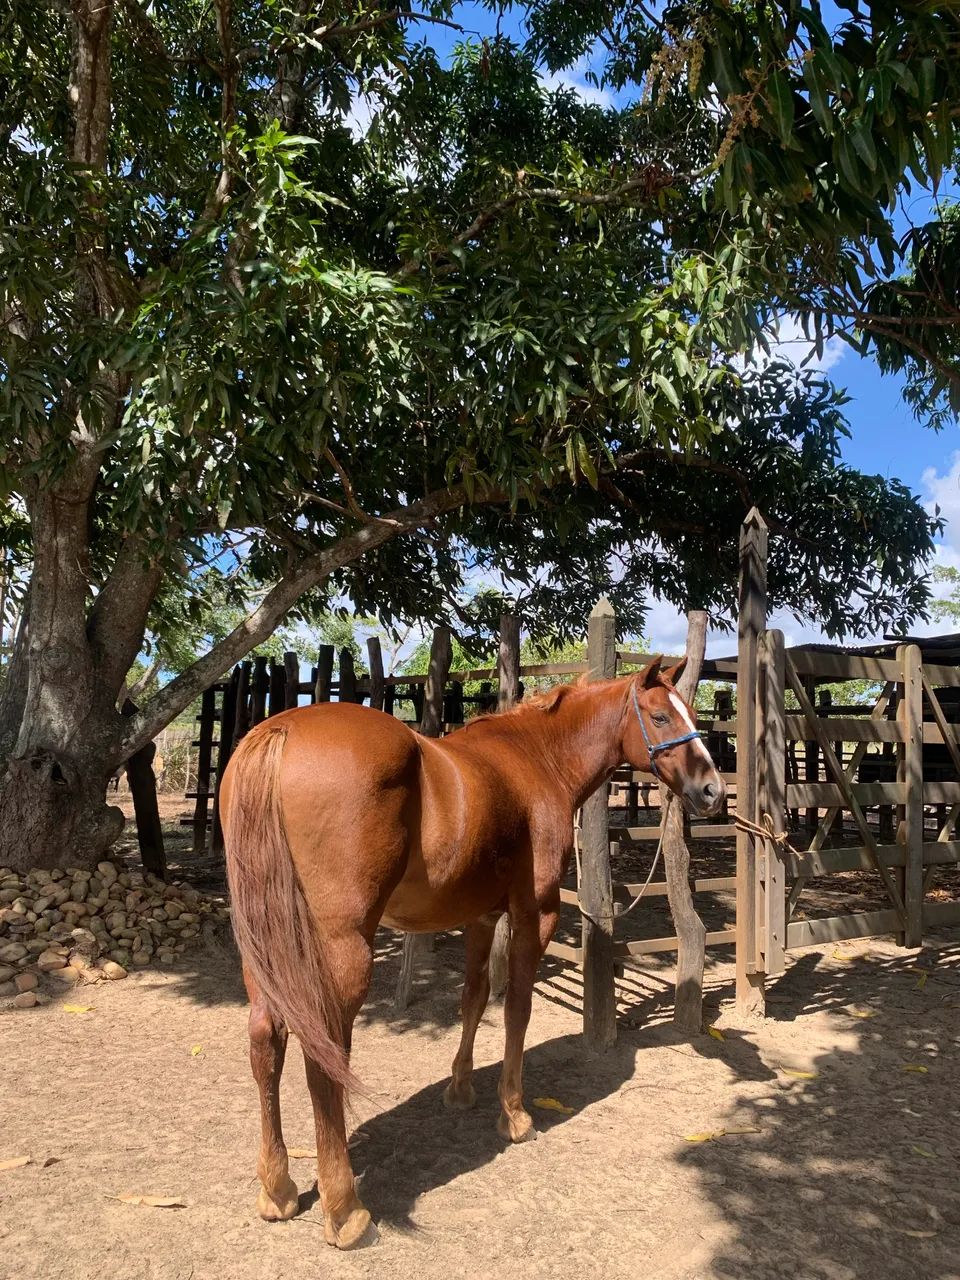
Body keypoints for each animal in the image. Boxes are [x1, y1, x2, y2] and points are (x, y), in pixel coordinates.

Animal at [221, 655, 724, 1249]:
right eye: (659, 716)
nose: (713, 790)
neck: (537, 760)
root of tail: (280, 731)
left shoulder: (481, 917)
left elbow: (475, 998)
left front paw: (460, 1088)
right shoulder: (535, 913)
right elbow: (516, 1010)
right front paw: (515, 1114)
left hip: (263, 948)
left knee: (265, 1044)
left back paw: (277, 1190)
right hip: (341, 953)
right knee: (324, 1059)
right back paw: (346, 1211)